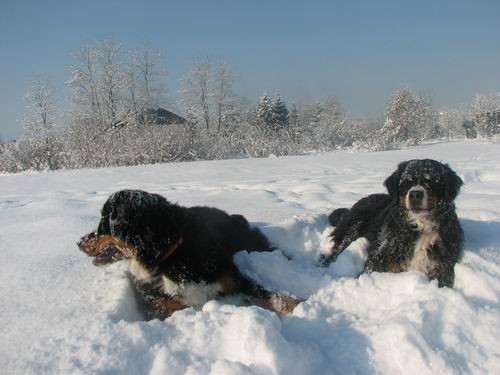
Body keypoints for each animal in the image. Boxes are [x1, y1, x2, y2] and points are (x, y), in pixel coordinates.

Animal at [76, 189, 298, 318]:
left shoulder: (233, 277)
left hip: (248, 242)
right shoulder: (150, 299)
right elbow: (178, 300)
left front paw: (301, 307)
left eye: (104, 221)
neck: (169, 254)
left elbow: (277, 296)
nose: (79, 242)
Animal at [322, 159, 462, 288]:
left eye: (432, 181)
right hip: (353, 227)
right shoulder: (379, 259)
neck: (420, 227)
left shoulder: (443, 264)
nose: (415, 194)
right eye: (406, 182)